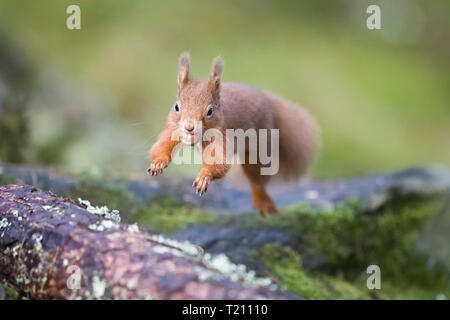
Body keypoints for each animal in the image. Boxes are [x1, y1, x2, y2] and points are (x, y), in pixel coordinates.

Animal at [147, 52, 316, 216]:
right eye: (176, 107)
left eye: (210, 111)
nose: (189, 127)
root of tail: (268, 101)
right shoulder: (172, 128)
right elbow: (161, 146)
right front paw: (158, 163)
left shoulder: (222, 135)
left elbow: (219, 162)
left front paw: (203, 177)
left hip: (258, 149)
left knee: (257, 180)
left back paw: (263, 202)